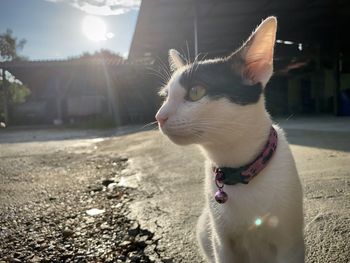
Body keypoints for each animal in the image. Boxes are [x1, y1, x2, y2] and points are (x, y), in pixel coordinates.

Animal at [155, 17, 304, 263]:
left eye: (196, 92)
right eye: (166, 97)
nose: (159, 116)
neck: (238, 169)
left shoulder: (289, 244)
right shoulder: (222, 243)